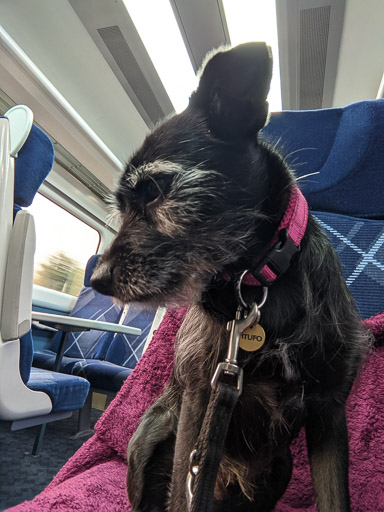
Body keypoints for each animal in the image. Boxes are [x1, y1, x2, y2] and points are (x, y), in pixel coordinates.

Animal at [91, 42, 368, 510]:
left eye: (155, 189)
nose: (97, 279)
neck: (260, 286)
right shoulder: (200, 398)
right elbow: (182, 492)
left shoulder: (329, 410)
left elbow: (335, 497)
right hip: (151, 435)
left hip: (280, 467)